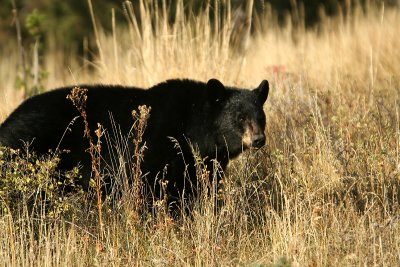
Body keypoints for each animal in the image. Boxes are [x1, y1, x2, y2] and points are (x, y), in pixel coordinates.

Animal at [0, 79, 268, 203]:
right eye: (240, 117)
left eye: (261, 117)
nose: (258, 139)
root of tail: (7, 123)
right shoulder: (156, 147)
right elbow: (150, 187)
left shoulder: (205, 162)